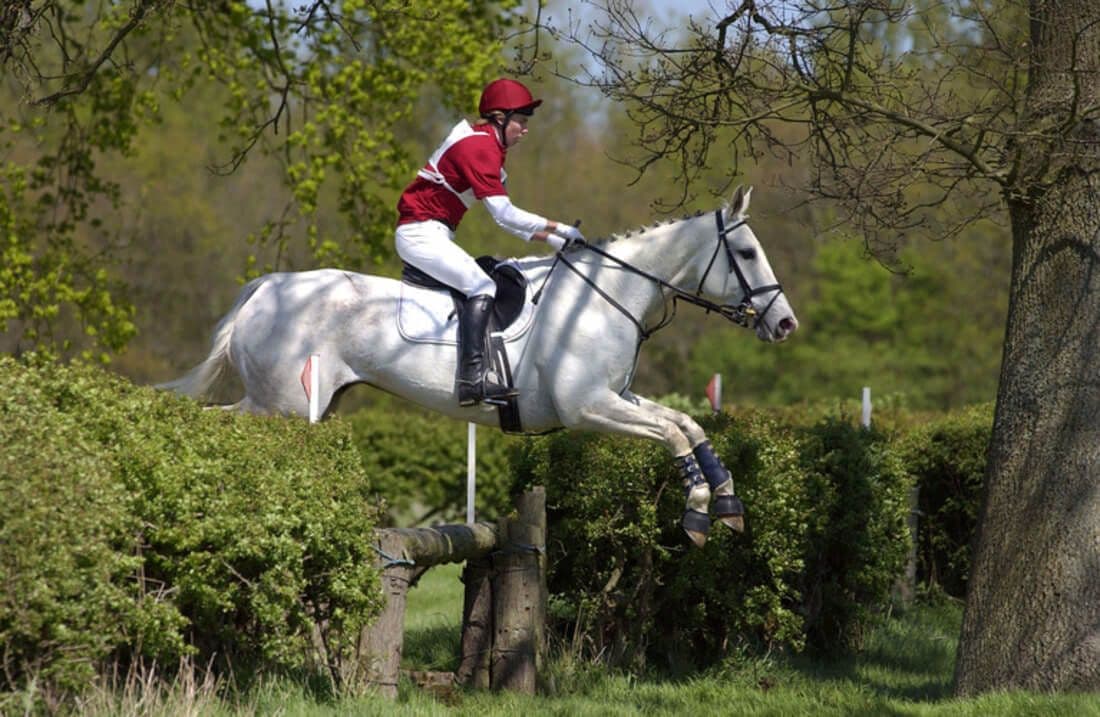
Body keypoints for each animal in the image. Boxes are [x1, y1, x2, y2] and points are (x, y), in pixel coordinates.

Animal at [161, 186, 798, 546]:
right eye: (746, 253)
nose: (785, 324)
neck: (606, 293)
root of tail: (267, 288)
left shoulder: (617, 398)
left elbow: (689, 426)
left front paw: (729, 504)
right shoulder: (589, 407)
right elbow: (674, 434)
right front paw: (697, 517)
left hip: (299, 405)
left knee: (220, 419)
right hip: (285, 407)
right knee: (222, 426)